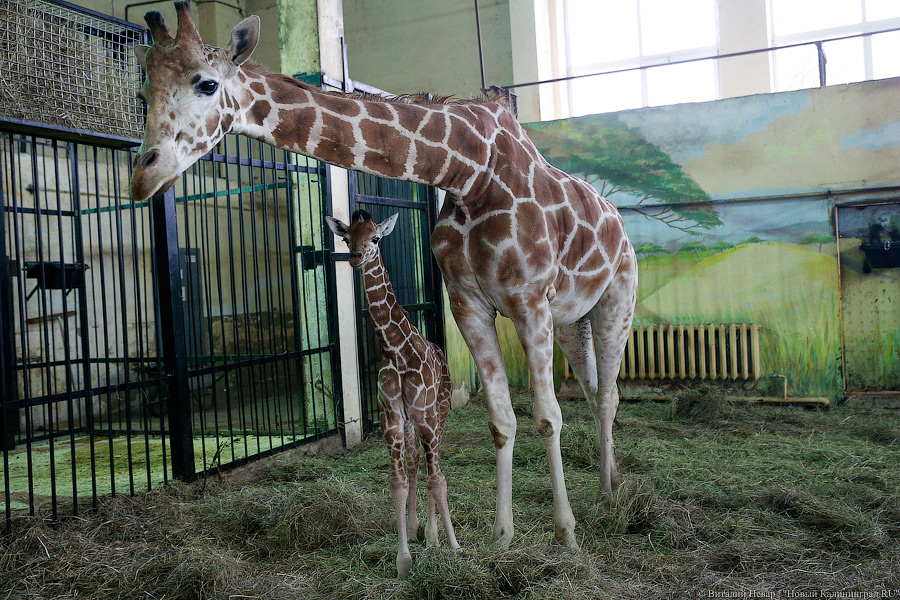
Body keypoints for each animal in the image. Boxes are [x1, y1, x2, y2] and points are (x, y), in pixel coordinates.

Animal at [326, 210, 458, 576]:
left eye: (375, 238)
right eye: (346, 238)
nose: (356, 257)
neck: (396, 349)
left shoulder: (426, 417)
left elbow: (438, 480)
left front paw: (453, 546)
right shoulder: (391, 418)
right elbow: (398, 483)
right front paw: (403, 559)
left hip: (438, 415)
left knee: (432, 470)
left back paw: (433, 536)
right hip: (413, 425)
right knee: (415, 465)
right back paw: (416, 528)